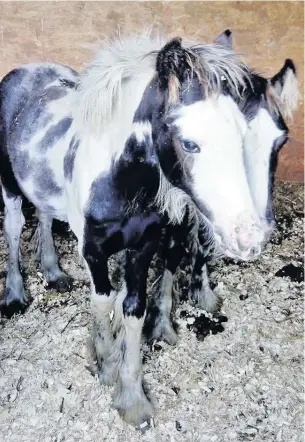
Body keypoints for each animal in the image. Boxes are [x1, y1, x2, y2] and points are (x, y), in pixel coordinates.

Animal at [0, 32, 296, 426]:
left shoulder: (143, 245)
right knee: (14, 227)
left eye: (276, 140)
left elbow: (134, 307)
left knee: (46, 216)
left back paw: (53, 272)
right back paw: (15, 294)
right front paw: (104, 362)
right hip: (9, 185)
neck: (123, 182)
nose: (250, 237)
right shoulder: (92, 249)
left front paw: (132, 397)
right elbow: (103, 300)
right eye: (189, 143)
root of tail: (24, 70)